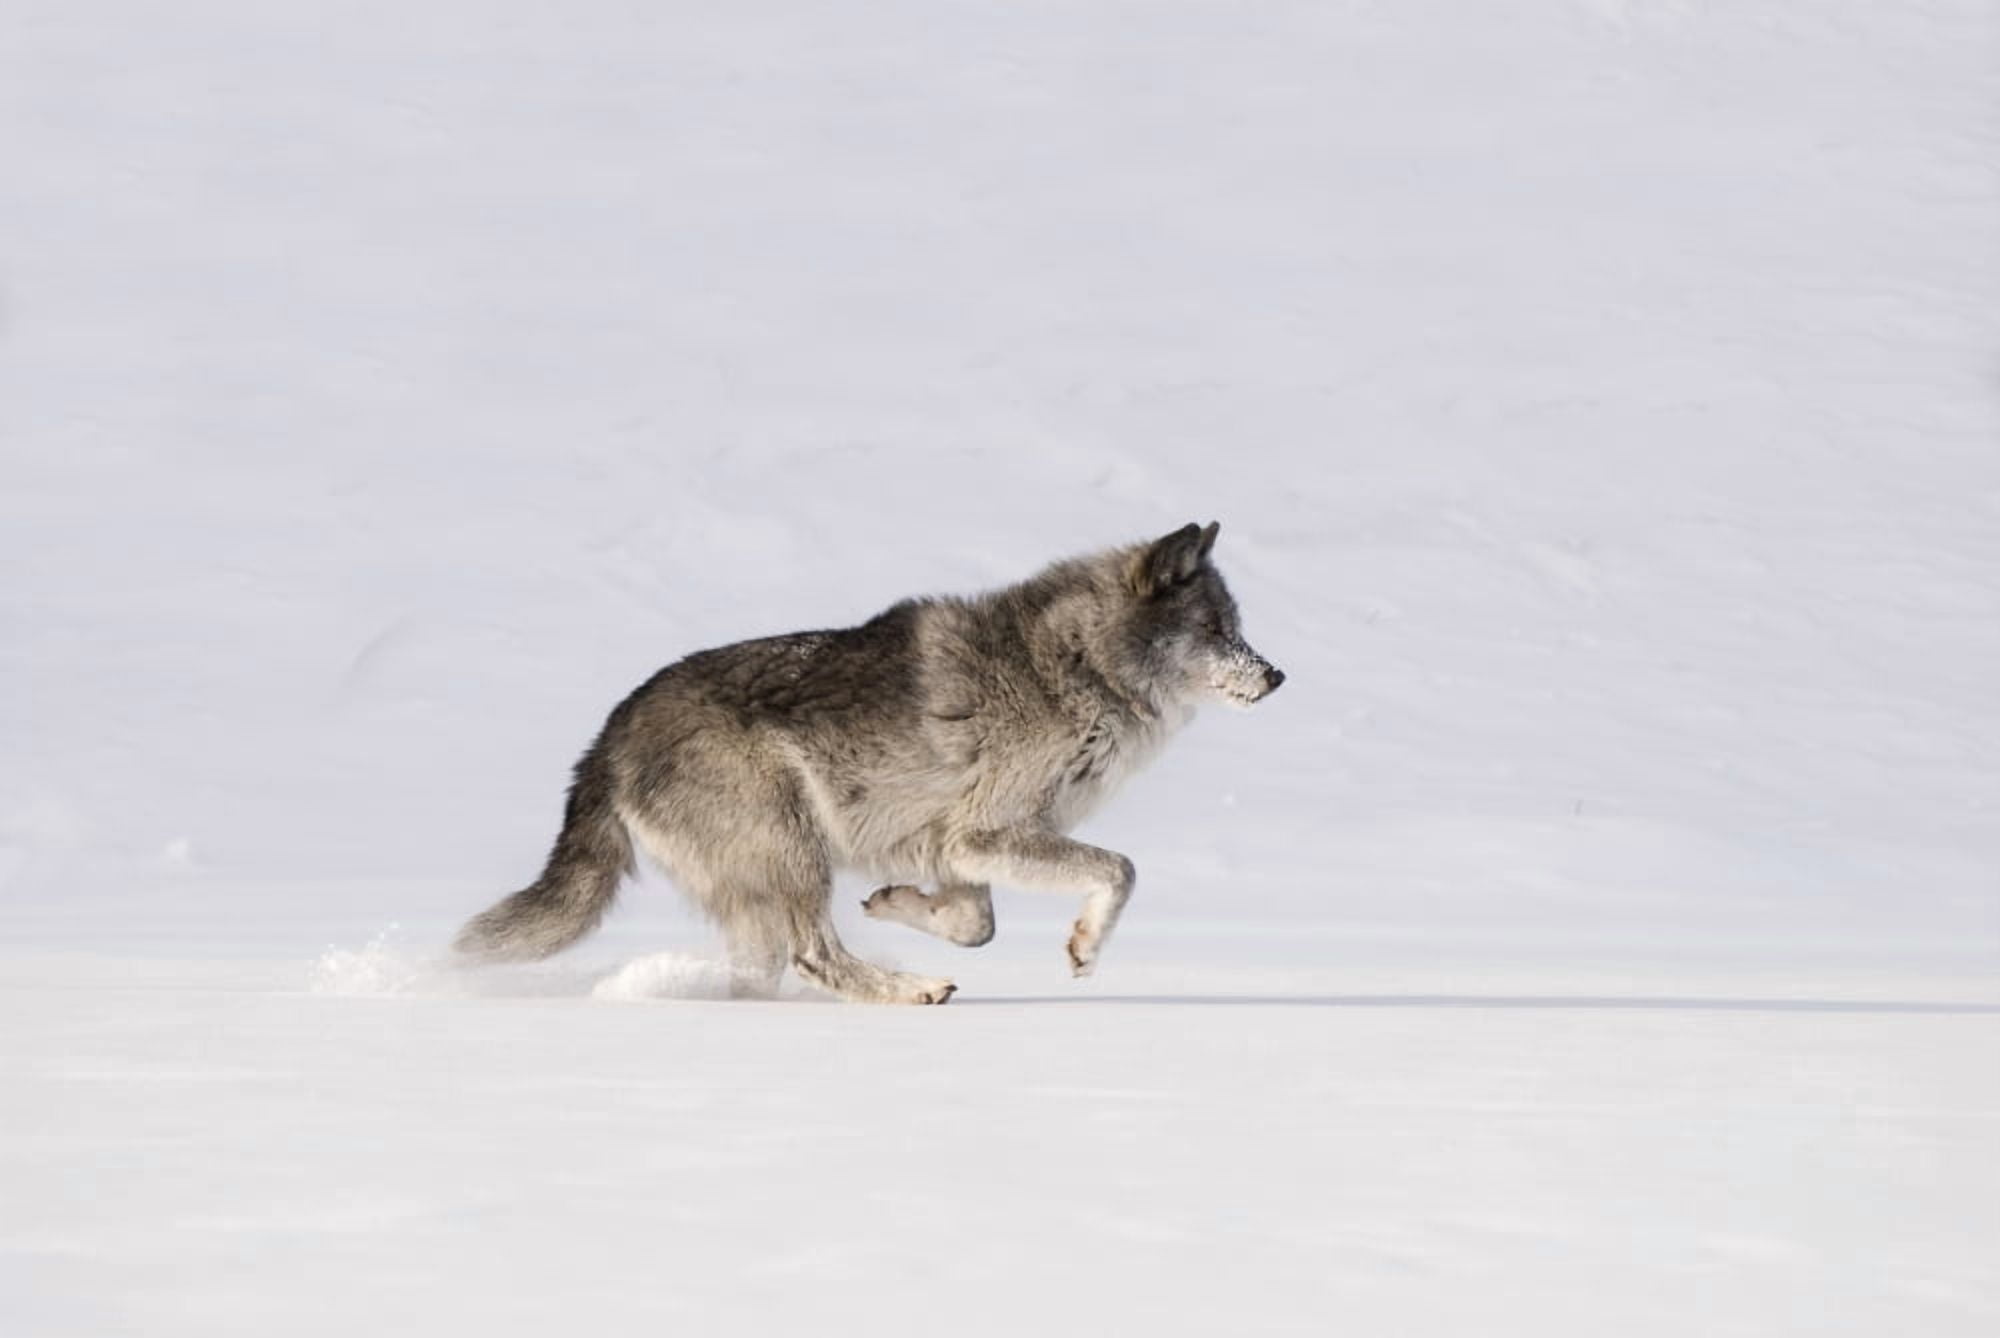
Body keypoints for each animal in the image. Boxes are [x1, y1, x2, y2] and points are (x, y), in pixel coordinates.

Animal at [453, 522, 1283, 1003]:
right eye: (1216, 629)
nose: (1276, 676)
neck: (1076, 668)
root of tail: (608, 735)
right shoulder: (987, 832)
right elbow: (1120, 870)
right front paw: (1084, 947)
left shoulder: (957, 847)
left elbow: (974, 924)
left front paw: (895, 903)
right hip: (794, 848)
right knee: (813, 954)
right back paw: (914, 991)